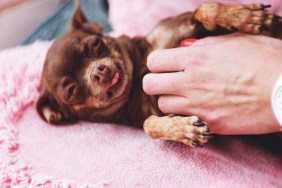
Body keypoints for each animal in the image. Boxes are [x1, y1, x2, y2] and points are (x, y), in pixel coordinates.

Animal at [35, 1, 282, 148]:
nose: (98, 72)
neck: (138, 76)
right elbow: (148, 125)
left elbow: (205, 8)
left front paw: (244, 15)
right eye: (72, 91)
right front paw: (181, 130)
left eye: (94, 45)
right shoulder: (149, 112)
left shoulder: (186, 27)